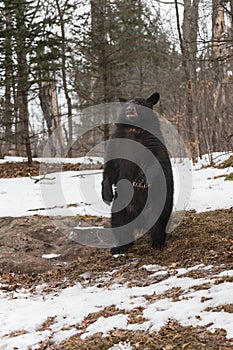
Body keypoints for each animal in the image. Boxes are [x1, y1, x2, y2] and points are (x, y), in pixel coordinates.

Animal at [101, 93, 173, 254]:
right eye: (127, 103)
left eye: (139, 103)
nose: (129, 108)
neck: (134, 128)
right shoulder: (116, 142)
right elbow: (110, 166)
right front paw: (106, 194)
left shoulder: (152, 141)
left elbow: (154, 160)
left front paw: (140, 181)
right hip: (121, 206)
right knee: (119, 224)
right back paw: (120, 247)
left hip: (158, 202)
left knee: (158, 222)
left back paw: (158, 242)